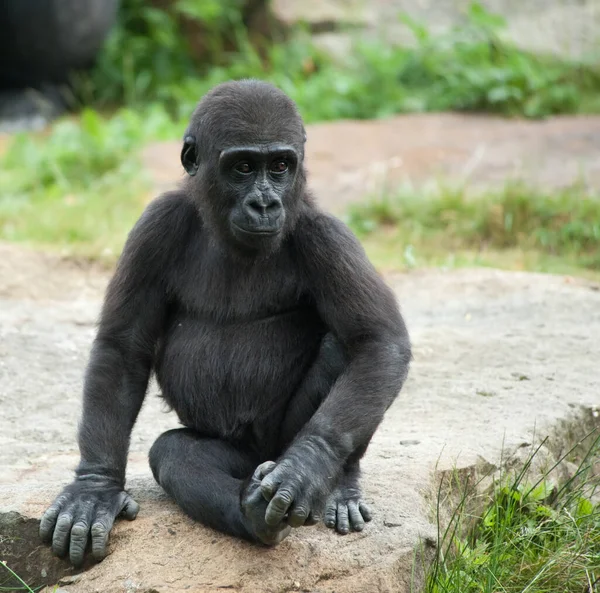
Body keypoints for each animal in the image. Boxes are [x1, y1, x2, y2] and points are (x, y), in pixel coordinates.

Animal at [38, 78, 412, 564]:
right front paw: (95, 487)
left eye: (280, 166)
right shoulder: (155, 225)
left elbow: (378, 343)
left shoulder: (327, 236)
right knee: (177, 454)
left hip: (276, 446)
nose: (265, 203)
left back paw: (337, 484)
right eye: (243, 167)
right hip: (241, 458)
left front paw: (307, 470)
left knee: (343, 348)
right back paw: (252, 517)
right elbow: (122, 348)